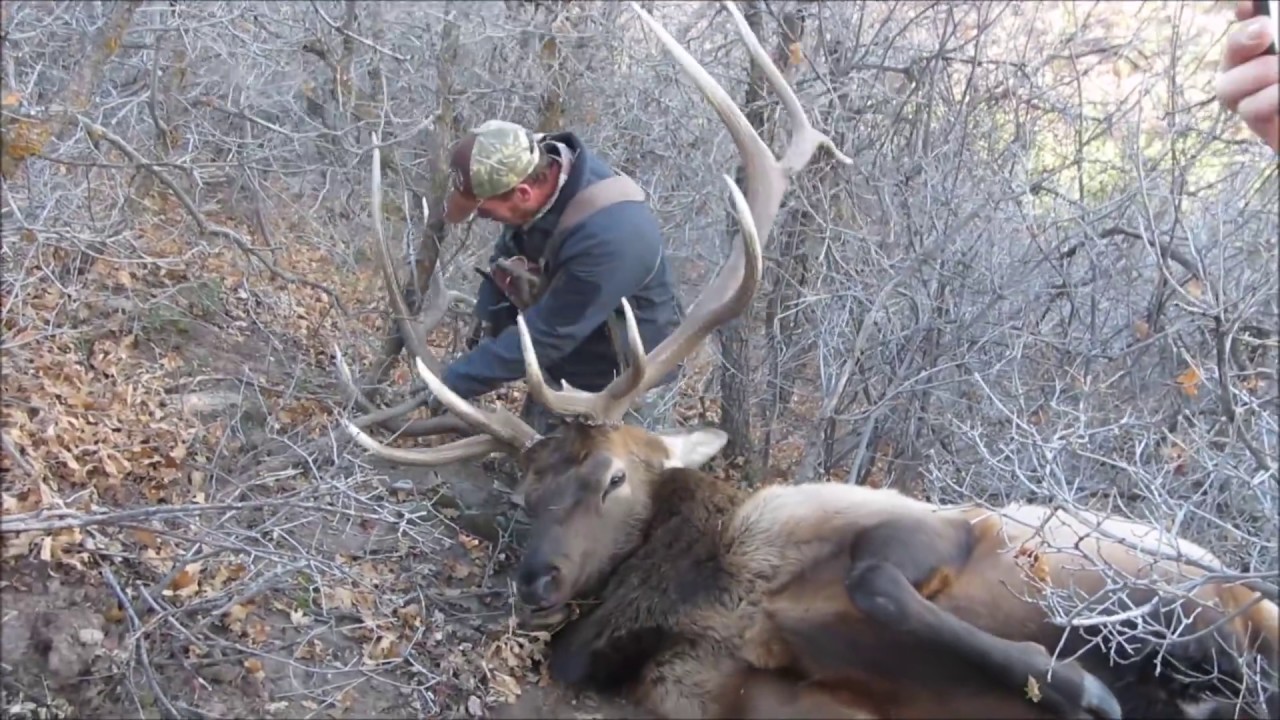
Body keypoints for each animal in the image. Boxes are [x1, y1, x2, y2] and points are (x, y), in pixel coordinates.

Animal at [333, 2, 1278, 718]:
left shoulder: (913, 523)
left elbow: (877, 579)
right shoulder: (737, 696)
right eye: (525, 494)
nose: (538, 578)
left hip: (1228, 591)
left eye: (612, 477)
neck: (713, 589)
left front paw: (1086, 685)